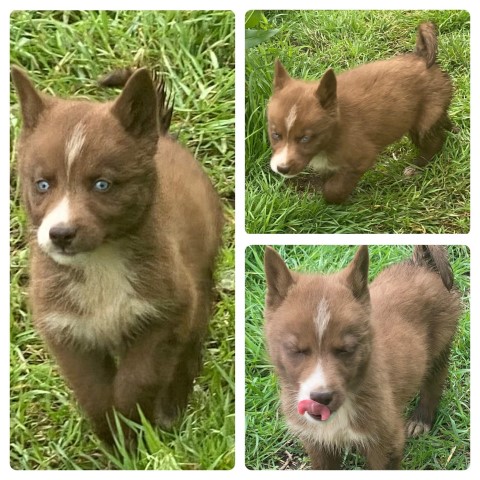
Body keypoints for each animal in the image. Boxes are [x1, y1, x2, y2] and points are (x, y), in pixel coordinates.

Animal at [12, 65, 224, 444]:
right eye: (42, 185)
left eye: (102, 185)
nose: (60, 234)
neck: (100, 262)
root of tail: (161, 134)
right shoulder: (65, 328)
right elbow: (92, 390)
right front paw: (113, 442)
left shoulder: (166, 311)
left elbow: (137, 378)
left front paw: (135, 429)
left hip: (202, 274)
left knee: (190, 345)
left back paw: (172, 407)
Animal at [264, 248, 460, 468]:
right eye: (296, 350)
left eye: (346, 350)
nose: (321, 398)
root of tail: (422, 263)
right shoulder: (318, 444)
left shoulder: (387, 441)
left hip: (441, 343)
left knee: (434, 382)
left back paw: (421, 419)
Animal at [268, 23, 452, 202]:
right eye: (276, 135)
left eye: (305, 138)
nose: (282, 169)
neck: (335, 131)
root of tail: (421, 56)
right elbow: (328, 179)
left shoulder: (361, 158)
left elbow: (334, 188)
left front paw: (334, 201)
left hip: (424, 121)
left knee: (435, 142)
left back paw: (416, 166)